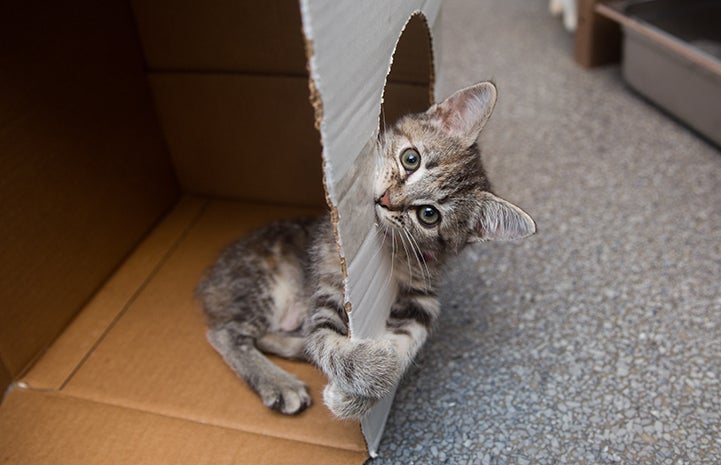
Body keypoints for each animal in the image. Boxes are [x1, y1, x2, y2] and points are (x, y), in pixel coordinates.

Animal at [197, 81, 536, 418]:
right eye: (411, 159)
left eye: (429, 215)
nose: (385, 200)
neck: (395, 250)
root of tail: (209, 278)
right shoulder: (328, 288)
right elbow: (323, 341)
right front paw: (374, 370)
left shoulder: (423, 297)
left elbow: (409, 341)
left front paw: (363, 389)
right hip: (262, 283)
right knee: (226, 333)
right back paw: (280, 383)